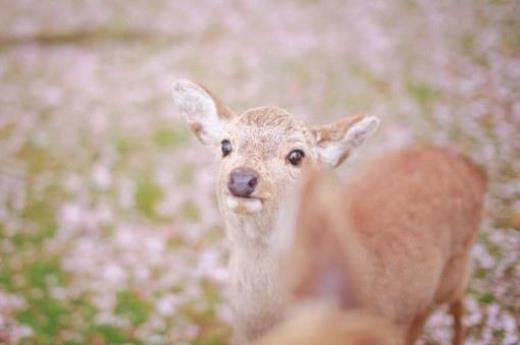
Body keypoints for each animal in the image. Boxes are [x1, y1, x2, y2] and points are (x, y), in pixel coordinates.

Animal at [172, 79, 488, 342]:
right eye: (226, 145)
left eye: (296, 155)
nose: (241, 179)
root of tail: (472, 166)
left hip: (457, 264)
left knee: (458, 301)